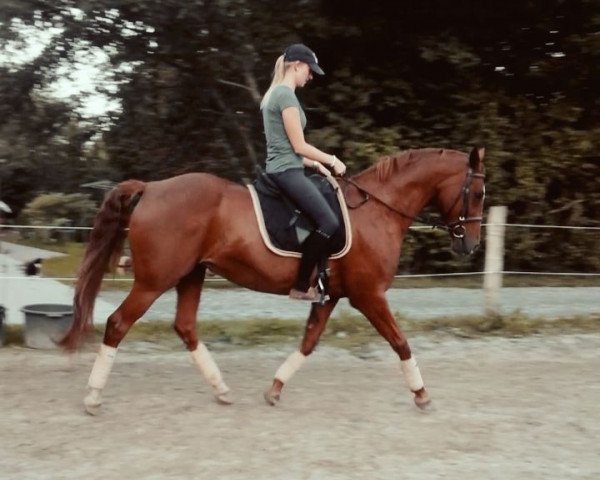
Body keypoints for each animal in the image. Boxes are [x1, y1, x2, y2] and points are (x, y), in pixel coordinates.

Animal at [58, 145, 486, 412]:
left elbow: (309, 343)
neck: (375, 212)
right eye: (479, 192)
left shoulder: (331, 296)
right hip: (153, 281)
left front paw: (274, 390)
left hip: (192, 274)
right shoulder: (369, 295)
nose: (471, 246)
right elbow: (401, 342)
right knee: (118, 323)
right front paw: (422, 395)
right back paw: (93, 398)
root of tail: (150, 188)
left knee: (185, 327)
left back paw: (222, 390)